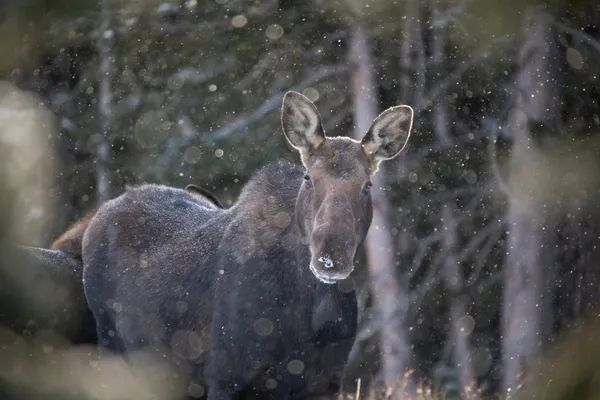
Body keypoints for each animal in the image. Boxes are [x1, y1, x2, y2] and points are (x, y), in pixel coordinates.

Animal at [77, 92, 412, 398]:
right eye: (308, 178)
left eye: (367, 185)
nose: (331, 258)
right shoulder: (225, 377)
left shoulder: (325, 383)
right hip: (111, 348)